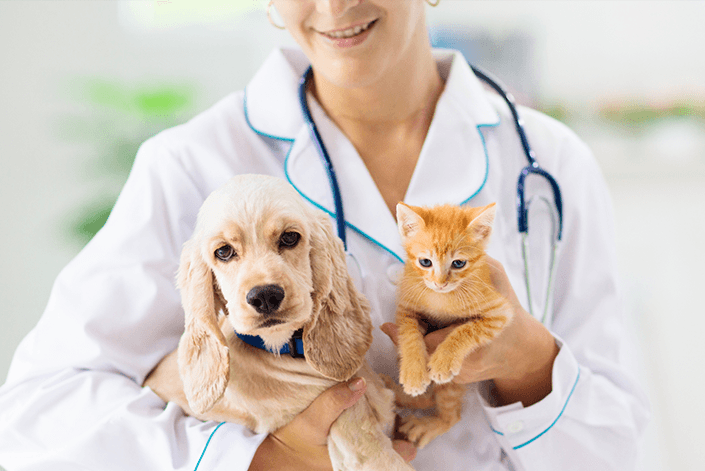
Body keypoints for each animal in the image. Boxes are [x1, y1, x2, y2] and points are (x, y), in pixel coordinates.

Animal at [394, 202, 508, 450]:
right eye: (425, 262)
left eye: (458, 263)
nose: (440, 283)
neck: (441, 298)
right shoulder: (406, 308)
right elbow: (408, 337)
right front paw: (414, 372)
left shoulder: (499, 312)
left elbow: (466, 330)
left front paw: (444, 360)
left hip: (452, 386)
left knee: (451, 414)